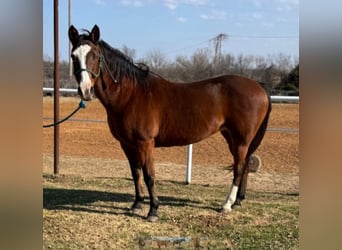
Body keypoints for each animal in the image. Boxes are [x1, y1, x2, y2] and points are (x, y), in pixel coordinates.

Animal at [69, 24, 272, 222]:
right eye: (73, 56)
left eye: (95, 56)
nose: (85, 90)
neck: (130, 95)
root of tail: (258, 85)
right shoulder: (127, 144)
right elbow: (136, 173)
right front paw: (137, 204)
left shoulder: (145, 143)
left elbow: (149, 175)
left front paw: (153, 210)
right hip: (232, 137)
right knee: (245, 165)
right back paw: (238, 201)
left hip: (241, 140)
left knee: (239, 168)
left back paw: (227, 205)